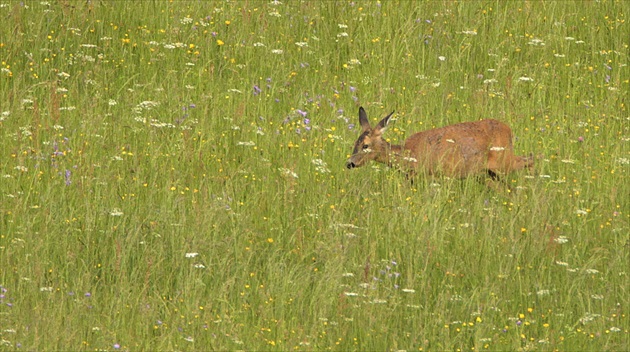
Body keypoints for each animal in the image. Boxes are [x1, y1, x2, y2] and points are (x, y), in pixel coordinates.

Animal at [348, 106, 536, 179]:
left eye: (365, 145)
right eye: (354, 143)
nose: (349, 163)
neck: (408, 154)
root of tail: (509, 129)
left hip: (503, 161)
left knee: (531, 158)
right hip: (487, 173)